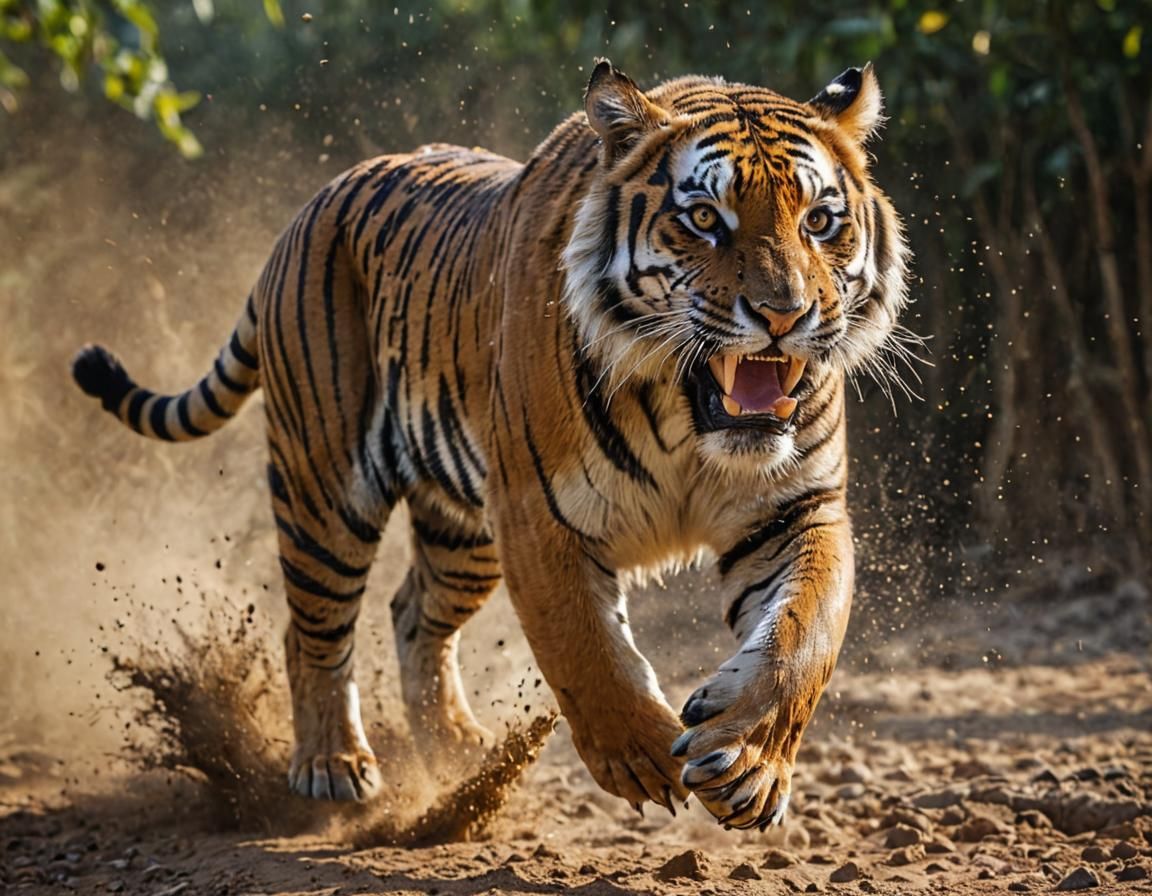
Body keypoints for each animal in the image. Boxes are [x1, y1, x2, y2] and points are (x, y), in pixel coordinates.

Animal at [73, 59, 909, 830]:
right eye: (705, 218)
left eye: (819, 222)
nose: (785, 314)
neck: (685, 416)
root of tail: (316, 202)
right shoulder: (538, 516)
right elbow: (580, 644)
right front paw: (639, 755)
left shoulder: (797, 511)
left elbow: (804, 636)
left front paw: (749, 764)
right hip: (327, 492)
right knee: (311, 628)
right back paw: (333, 765)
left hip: (461, 532)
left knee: (413, 614)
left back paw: (455, 752)